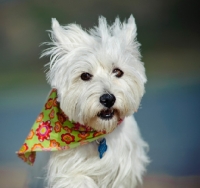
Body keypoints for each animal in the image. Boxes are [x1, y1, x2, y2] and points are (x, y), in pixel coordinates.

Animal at [41, 15, 148, 187]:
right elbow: (78, 179)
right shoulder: (67, 170)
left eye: (117, 71)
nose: (108, 99)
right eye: (85, 75)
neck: (98, 133)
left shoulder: (124, 169)